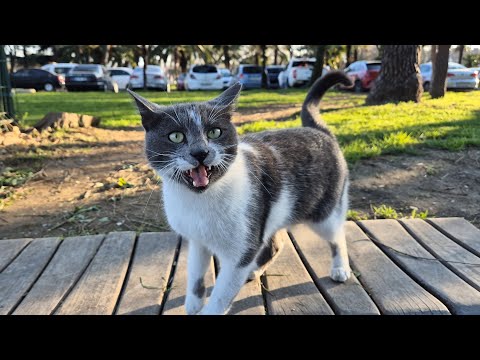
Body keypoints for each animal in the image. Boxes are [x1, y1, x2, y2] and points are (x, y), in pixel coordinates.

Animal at [127, 71, 352, 316]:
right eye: (175, 136)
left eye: (215, 132)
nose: (200, 152)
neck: (199, 202)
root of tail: (318, 130)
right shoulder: (197, 240)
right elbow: (195, 275)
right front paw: (193, 304)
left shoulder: (240, 253)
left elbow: (221, 295)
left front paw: (208, 309)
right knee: (276, 243)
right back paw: (255, 270)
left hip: (325, 212)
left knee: (337, 235)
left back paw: (340, 268)